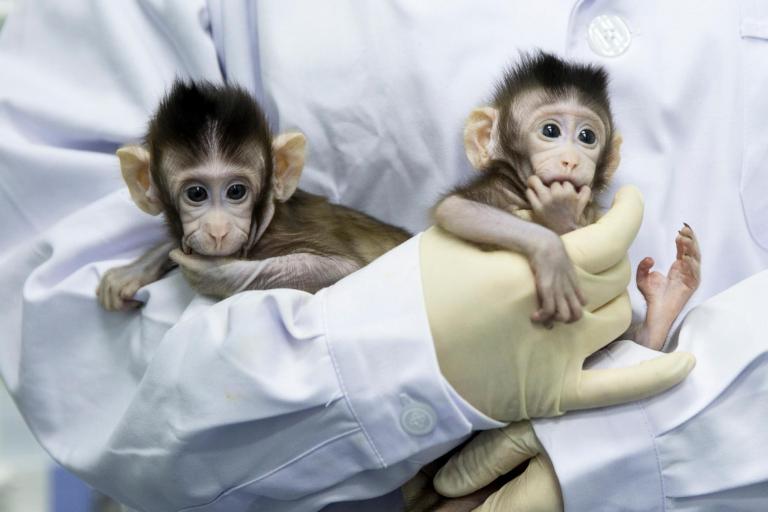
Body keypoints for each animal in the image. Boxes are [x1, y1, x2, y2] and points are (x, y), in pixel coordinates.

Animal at [97, 80, 410, 310]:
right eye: (196, 193)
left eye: (236, 191)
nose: (218, 230)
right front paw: (138, 267)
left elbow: (346, 270)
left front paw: (217, 273)